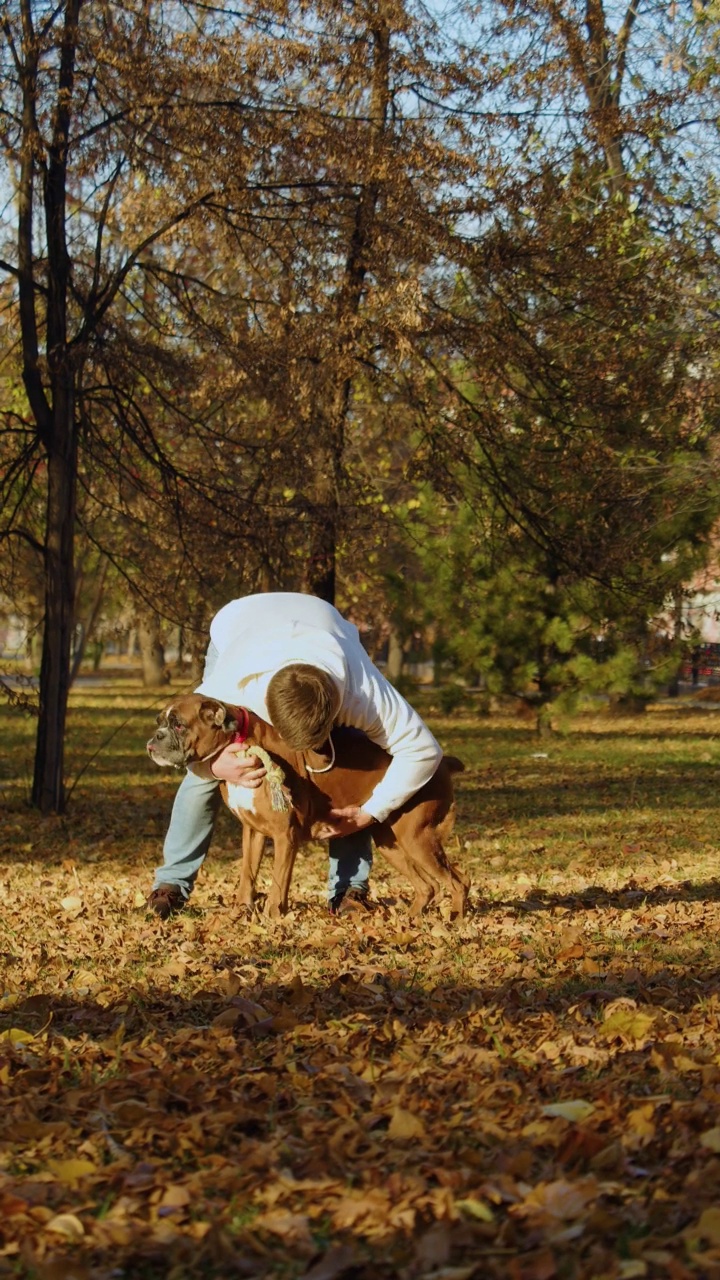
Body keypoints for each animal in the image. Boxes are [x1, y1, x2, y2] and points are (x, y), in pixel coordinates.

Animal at [147, 701, 471, 921]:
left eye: (178, 724)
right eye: (159, 721)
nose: (154, 738)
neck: (240, 744)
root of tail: (442, 762)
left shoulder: (284, 836)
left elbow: (279, 881)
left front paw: (273, 917)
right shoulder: (253, 833)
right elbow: (247, 876)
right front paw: (241, 912)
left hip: (417, 839)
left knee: (458, 881)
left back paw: (454, 920)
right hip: (391, 843)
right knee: (428, 885)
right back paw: (412, 917)